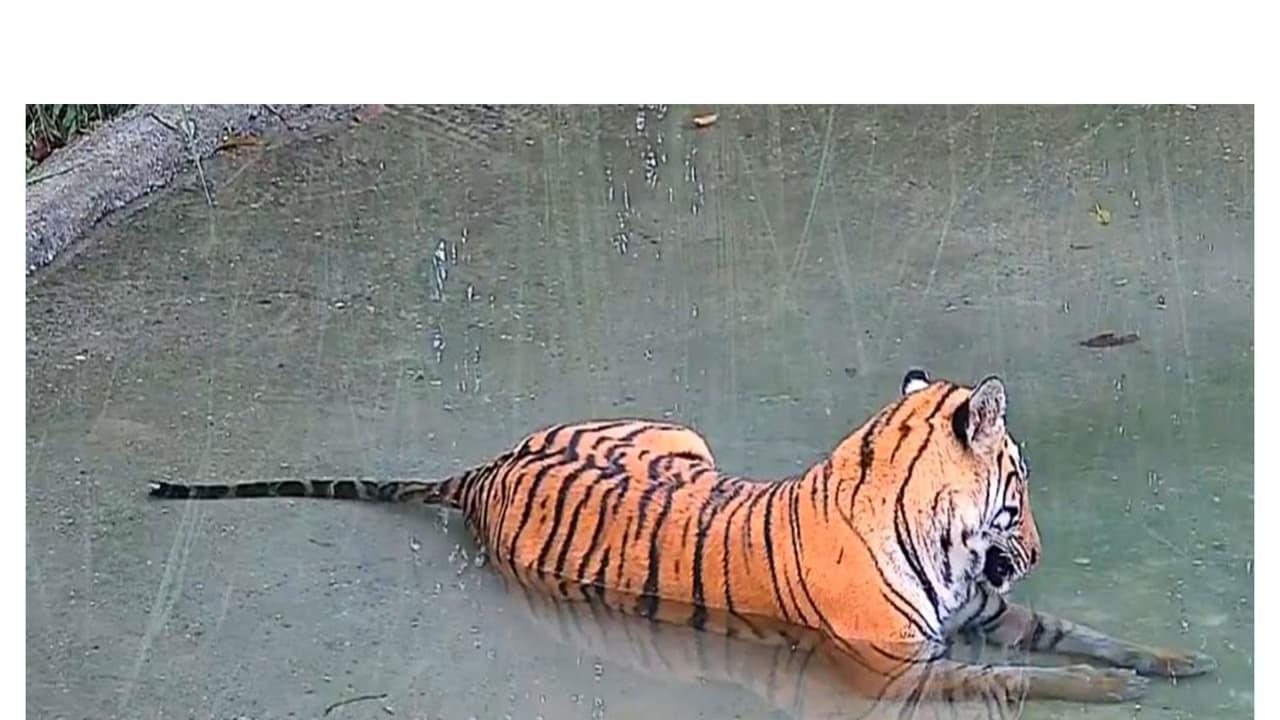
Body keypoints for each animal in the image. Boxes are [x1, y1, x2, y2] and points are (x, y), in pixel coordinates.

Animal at [148, 369, 1216, 706]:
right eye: (1019, 487)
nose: (1036, 550)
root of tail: (487, 469)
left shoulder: (983, 608)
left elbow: (1080, 635)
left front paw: (1175, 662)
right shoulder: (905, 669)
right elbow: (1036, 675)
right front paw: (1112, 694)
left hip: (682, 434)